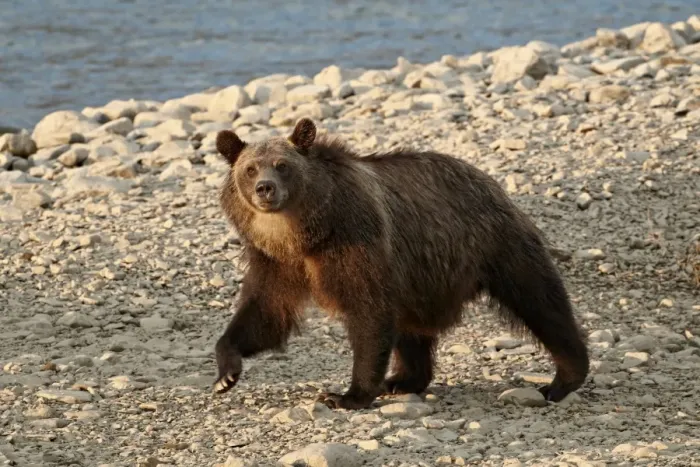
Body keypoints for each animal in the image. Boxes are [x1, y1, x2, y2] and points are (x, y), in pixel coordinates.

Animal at [212, 118, 589, 410]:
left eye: (283, 165)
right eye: (249, 168)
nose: (265, 189)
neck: (304, 233)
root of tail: (488, 179)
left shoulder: (356, 240)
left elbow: (368, 311)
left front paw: (347, 395)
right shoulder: (276, 262)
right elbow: (266, 313)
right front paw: (225, 373)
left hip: (494, 244)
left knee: (540, 301)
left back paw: (562, 379)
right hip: (420, 274)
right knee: (412, 327)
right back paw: (404, 379)